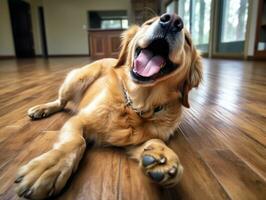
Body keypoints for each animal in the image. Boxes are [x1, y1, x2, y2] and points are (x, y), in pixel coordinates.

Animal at [14, 13, 202, 199]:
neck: (137, 104)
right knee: (60, 102)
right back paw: (41, 109)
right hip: (77, 79)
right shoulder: (79, 120)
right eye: (148, 23)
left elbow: (153, 140)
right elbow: (76, 141)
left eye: (187, 40)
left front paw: (162, 155)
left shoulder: (134, 140)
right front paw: (51, 165)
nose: (172, 21)